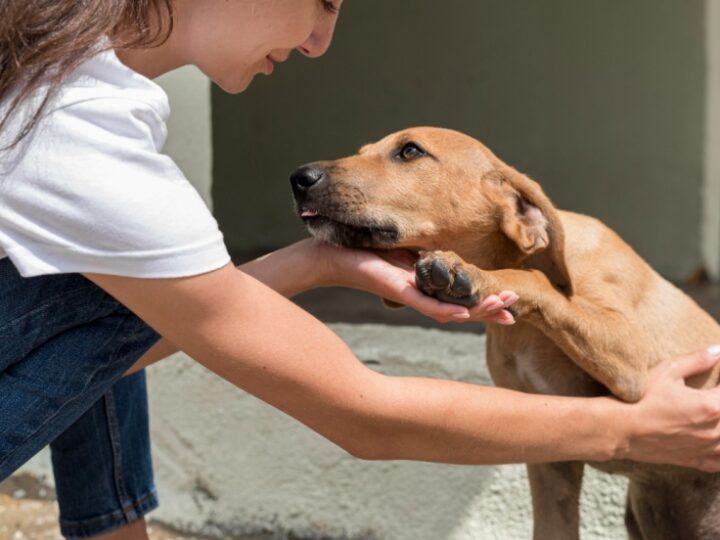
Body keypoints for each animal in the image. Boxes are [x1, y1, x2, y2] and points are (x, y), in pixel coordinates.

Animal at [290, 127, 720, 540]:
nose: (299, 178)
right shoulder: (551, 457)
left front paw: (472, 277)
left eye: (410, 151)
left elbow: (531, 280)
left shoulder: (631, 362)